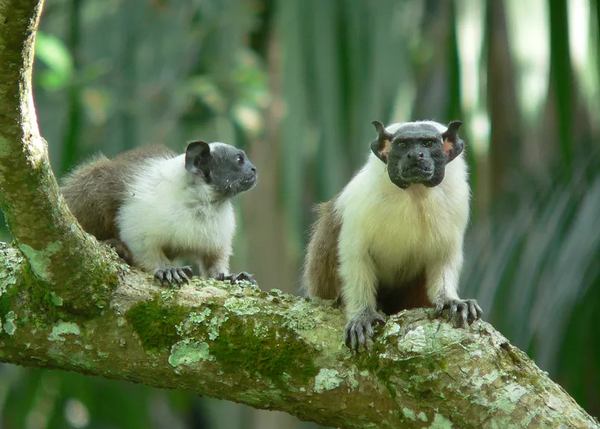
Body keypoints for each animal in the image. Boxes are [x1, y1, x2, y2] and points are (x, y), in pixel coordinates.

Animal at [62, 140, 256, 286]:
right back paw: (115, 245)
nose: (254, 169)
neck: (201, 201)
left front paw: (228, 276)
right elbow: (140, 243)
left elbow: (213, 261)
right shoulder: (143, 210)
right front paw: (167, 269)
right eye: (239, 160)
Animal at [304, 118, 482, 350]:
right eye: (403, 145)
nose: (415, 155)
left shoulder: (456, 202)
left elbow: (444, 257)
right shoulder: (360, 204)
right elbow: (355, 259)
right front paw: (363, 315)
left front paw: (450, 300)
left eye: (428, 144)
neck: (415, 193)